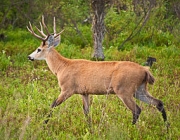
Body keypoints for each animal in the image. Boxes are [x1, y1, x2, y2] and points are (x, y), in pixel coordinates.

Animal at [27, 15, 167, 125]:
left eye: (39, 49)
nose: (29, 57)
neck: (62, 67)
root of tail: (145, 70)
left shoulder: (67, 89)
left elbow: (52, 105)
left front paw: (43, 124)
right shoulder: (84, 92)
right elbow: (86, 112)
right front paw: (89, 128)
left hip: (124, 90)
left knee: (137, 110)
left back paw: (132, 129)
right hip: (140, 89)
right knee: (159, 103)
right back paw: (167, 128)